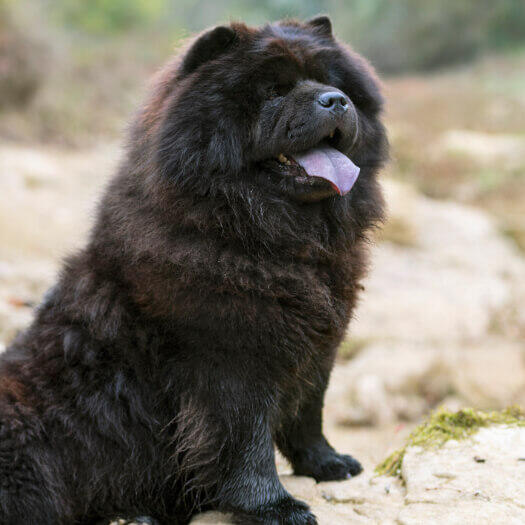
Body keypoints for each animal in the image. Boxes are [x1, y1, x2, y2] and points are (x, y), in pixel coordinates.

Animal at [0, 14, 384, 520]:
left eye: (334, 83)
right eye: (273, 91)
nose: (335, 100)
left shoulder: (318, 349)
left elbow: (308, 415)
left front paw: (327, 464)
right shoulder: (232, 362)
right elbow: (245, 446)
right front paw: (275, 508)